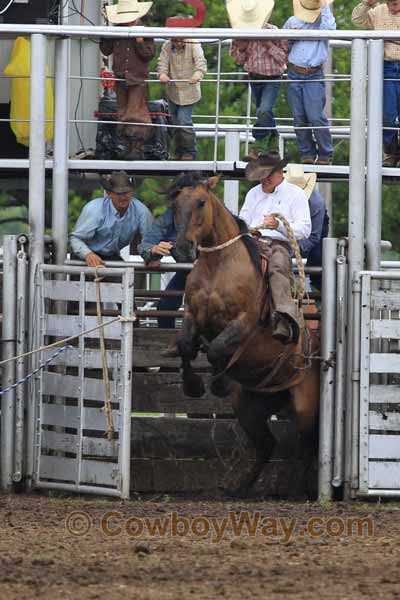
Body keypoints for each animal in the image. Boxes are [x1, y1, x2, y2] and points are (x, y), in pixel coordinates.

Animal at [170, 171, 320, 494]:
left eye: (201, 202)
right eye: (175, 202)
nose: (182, 248)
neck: (219, 267)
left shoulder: (244, 322)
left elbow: (217, 348)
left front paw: (219, 382)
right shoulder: (191, 315)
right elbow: (186, 344)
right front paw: (193, 385)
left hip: (305, 406)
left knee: (307, 445)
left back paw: (299, 489)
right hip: (250, 407)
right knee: (266, 445)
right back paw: (239, 487)